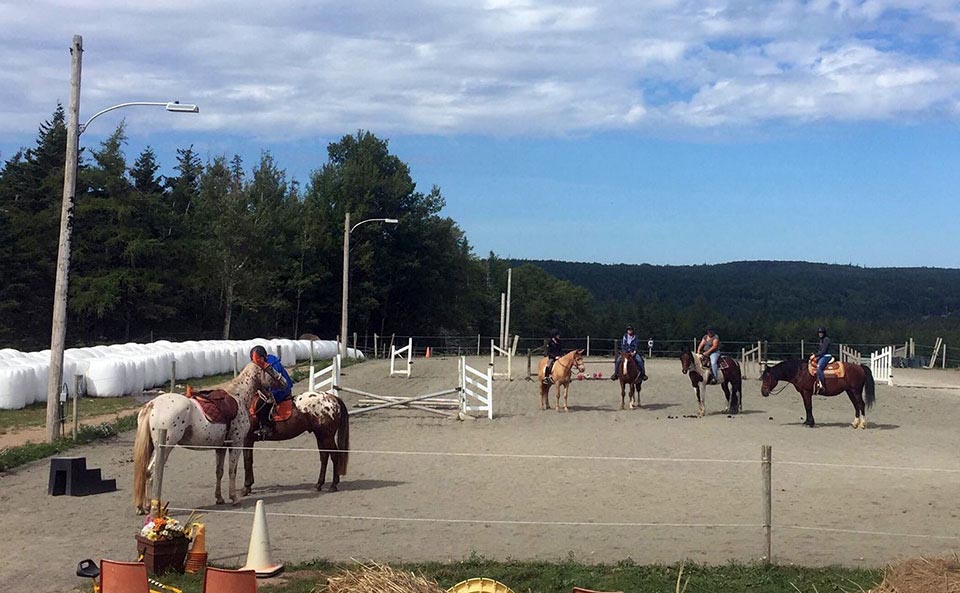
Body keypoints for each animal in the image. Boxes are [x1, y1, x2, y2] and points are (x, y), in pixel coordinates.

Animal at [135, 360, 284, 512]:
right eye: (270, 367)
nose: (283, 381)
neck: (238, 397)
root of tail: (152, 404)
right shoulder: (236, 443)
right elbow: (232, 470)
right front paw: (234, 498)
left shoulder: (221, 447)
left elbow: (219, 471)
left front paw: (219, 498)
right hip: (164, 448)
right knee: (152, 473)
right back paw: (153, 506)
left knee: (146, 472)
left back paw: (144, 506)